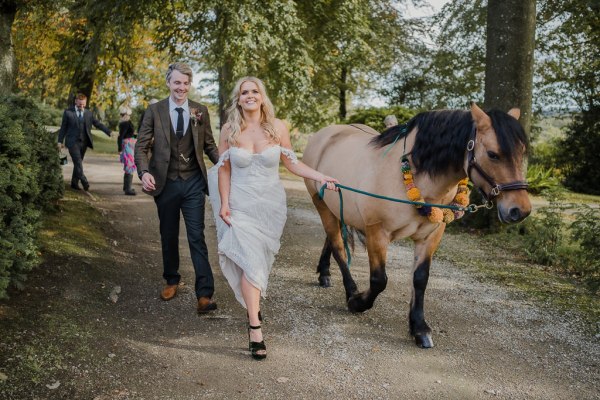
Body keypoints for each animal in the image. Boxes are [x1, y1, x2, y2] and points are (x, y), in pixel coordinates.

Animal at [304, 103, 528, 346]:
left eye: (522, 153)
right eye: (493, 154)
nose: (520, 210)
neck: (414, 175)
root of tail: (325, 134)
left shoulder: (431, 235)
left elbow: (420, 279)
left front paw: (419, 327)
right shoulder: (377, 232)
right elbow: (379, 280)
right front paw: (357, 302)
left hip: (337, 207)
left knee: (331, 239)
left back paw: (324, 272)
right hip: (322, 204)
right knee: (338, 247)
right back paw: (350, 290)